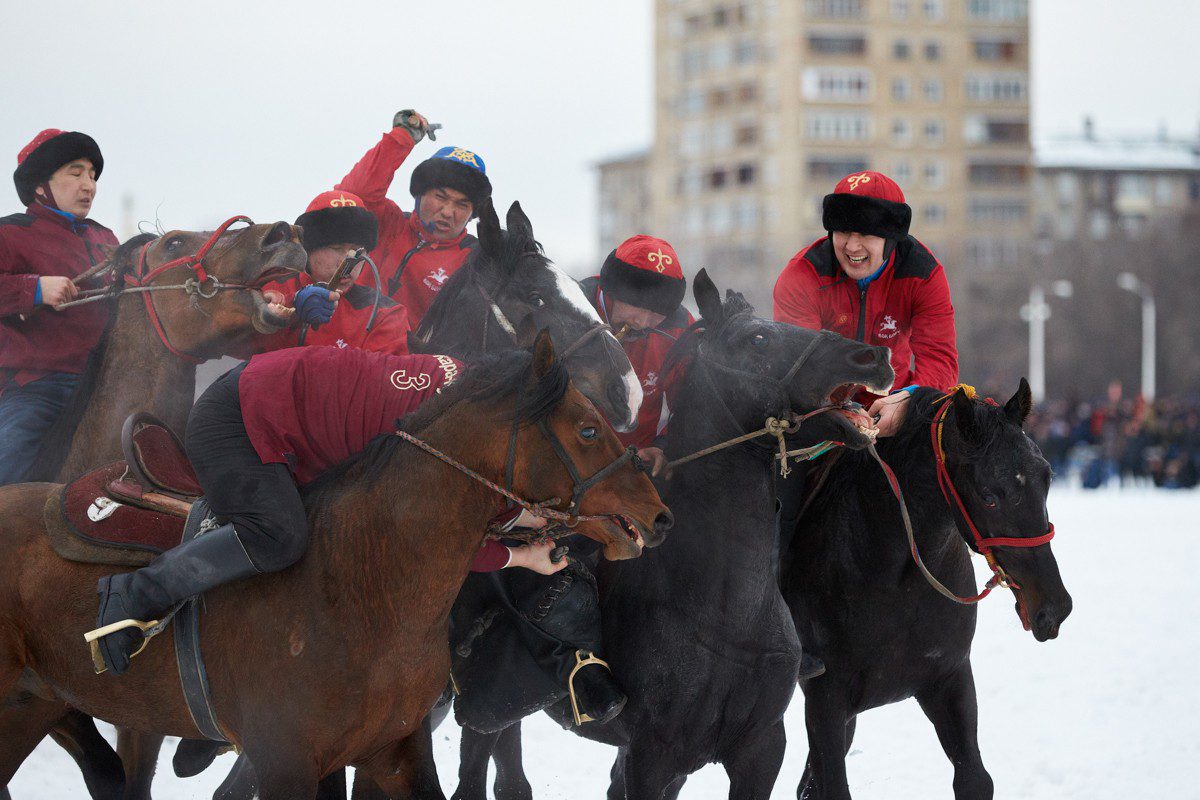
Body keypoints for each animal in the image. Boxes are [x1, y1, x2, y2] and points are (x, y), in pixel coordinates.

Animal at [0, 333, 676, 800]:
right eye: (586, 429)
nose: (659, 513)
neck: (362, 588)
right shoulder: (284, 763)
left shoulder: (393, 751)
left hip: (34, 704)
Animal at [782, 383, 1075, 796]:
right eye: (988, 495)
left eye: (1046, 477)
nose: (1054, 607)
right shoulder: (826, 698)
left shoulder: (949, 680)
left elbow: (974, 779)